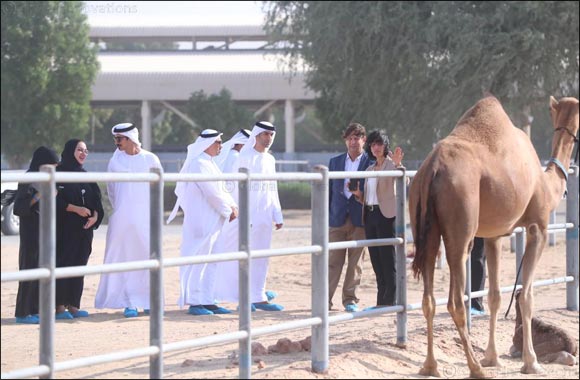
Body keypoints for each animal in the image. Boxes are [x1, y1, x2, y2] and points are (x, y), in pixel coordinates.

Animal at [408, 95, 580, 378]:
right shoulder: (538, 227)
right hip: (461, 225)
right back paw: (475, 368)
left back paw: (430, 366)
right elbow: (527, 295)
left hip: (423, 226)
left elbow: (495, 295)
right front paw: (531, 362)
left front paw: (492, 358)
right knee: (456, 300)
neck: (546, 184)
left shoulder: (494, 235)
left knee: (429, 297)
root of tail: (432, 169)